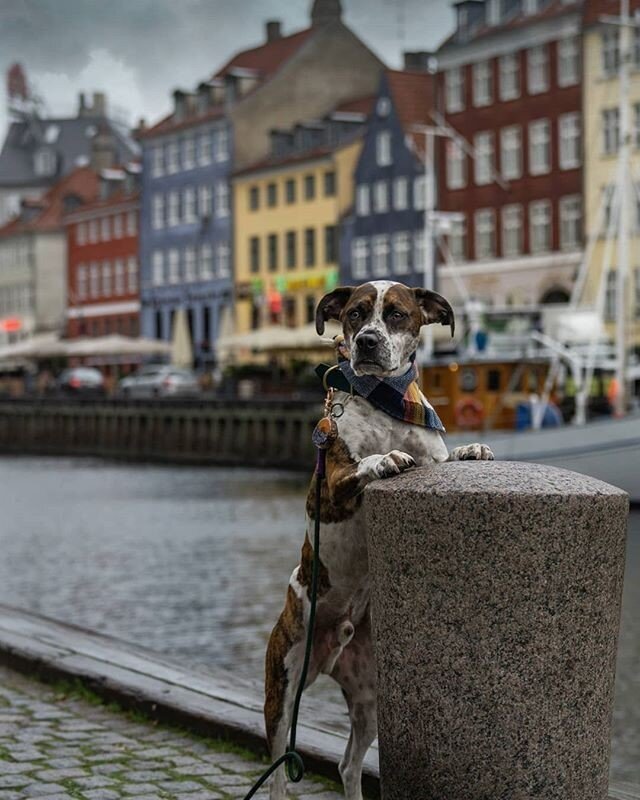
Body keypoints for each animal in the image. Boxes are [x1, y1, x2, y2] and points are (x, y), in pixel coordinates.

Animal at [262, 278, 492, 796]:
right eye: (355, 313)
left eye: (398, 314)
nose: (367, 341)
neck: (388, 400)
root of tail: (337, 641)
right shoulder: (333, 482)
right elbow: (367, 462)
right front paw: (385, 459)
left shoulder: (432, 460)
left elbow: (445, 459)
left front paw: (472, 448)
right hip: (283, 685)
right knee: (278, 768)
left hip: (370, 697)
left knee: (349, 765)